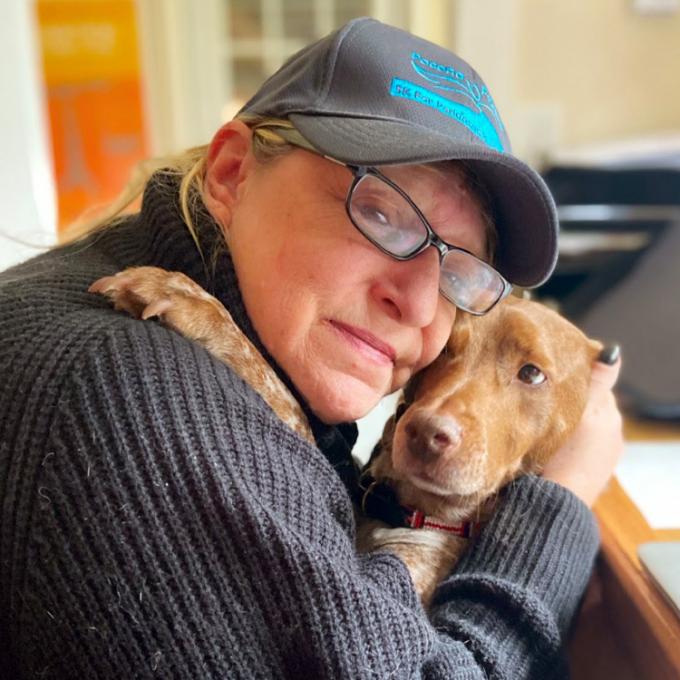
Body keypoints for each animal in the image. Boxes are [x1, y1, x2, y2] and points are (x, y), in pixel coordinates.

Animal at [91, 266, 604, 604]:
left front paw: (193, 306)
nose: (424, 433)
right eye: (442, 354)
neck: (405, 510)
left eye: (532, 373)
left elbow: (289, 406)